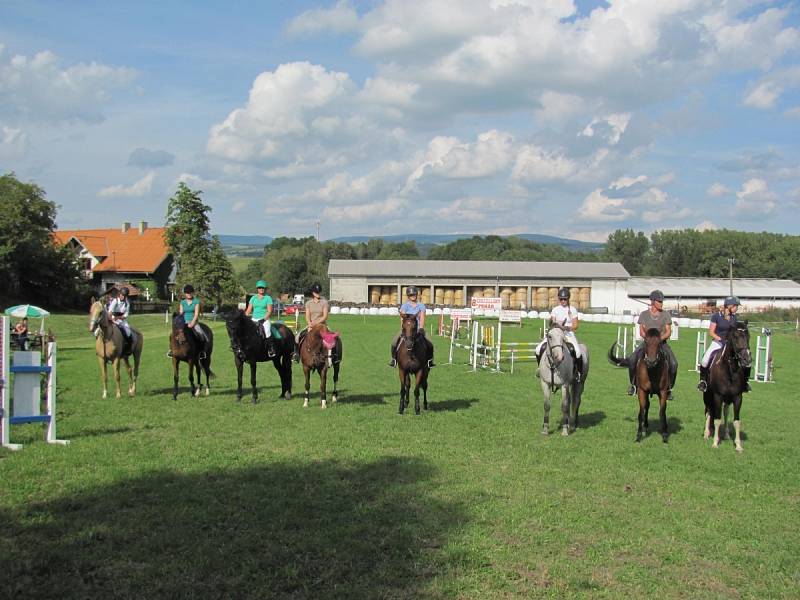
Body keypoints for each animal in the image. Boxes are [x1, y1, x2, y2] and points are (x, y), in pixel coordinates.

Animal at [708, 318, 752, 450]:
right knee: (709, 411)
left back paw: (727, 435)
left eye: (748, 336)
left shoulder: (737, 397)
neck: (729, 370)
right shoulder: (717, 396)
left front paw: (738, 445)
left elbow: (737, 421)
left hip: (728, 398)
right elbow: (717, 419)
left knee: (726, 411)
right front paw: (715, 443)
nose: (747, 359)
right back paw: (707, 433)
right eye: (735, 336)